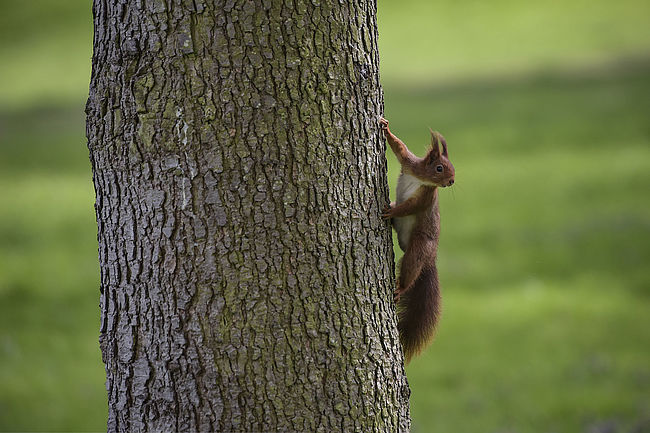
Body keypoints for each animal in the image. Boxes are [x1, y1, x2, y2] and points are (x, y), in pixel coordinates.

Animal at [378, 115, 454, 362]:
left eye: (452, 168)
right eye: (440, 168)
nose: (451, 181)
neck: (422, 178)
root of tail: (431, 260)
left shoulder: (425, 198)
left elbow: (409, 207)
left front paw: (392, 211)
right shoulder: (409, 163)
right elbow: (399, 148)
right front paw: (386, 128)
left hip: (420, 247)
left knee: (410, 268)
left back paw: (401, 288)